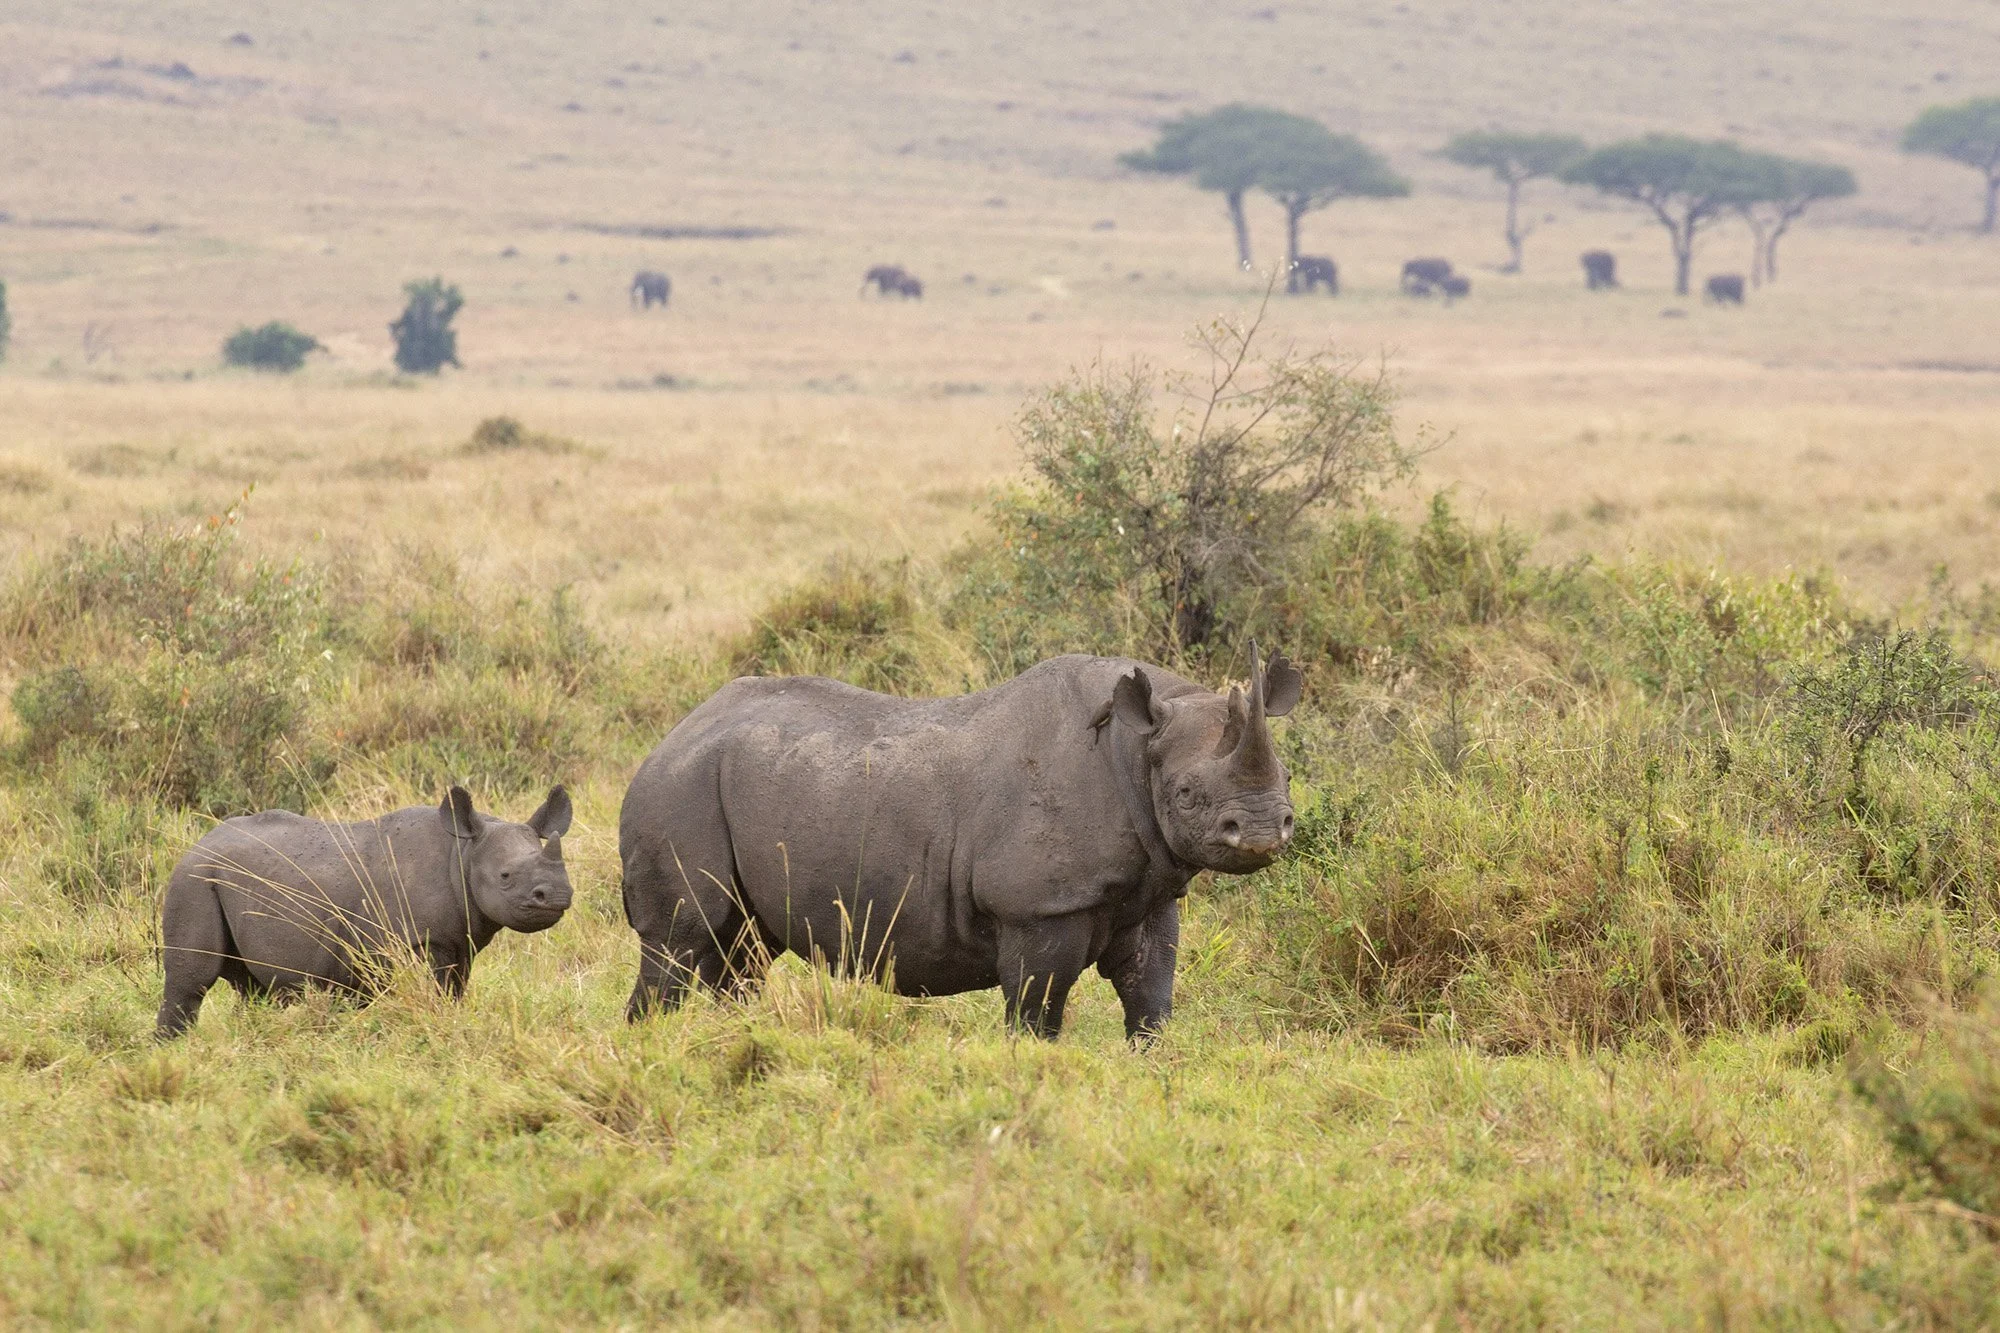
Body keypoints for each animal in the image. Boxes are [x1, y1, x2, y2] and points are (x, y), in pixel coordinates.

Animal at [155, 786, 574, 1038]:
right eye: (505, 876)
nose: (558, 895)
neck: (464, 854)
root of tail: (197, 843)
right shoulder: (408, 942)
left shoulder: (458, 943)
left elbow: (452, 991)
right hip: (194, 878)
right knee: (192, 981)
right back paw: (173, 1050)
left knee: (252, 988)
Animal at [619, 648, 1302, 1041]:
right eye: (1185, 794)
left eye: (1289, 777)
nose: (1262, 832)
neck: (1137, 749)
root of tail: (670, 735)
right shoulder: (1039, 906)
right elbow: (1036, 1010)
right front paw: (1032, 1064)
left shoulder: (1150, 890)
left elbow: (1152, 993)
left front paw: (1151, 1062)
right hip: (681, 788)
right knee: (681, 942)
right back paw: (652, 1046)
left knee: (741, 952)